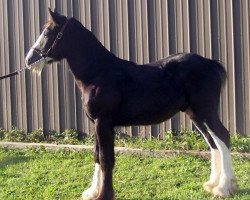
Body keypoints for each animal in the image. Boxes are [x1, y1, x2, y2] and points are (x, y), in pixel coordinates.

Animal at [25, 8, 238, 199]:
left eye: (47, 32)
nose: (29, 60)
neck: (98, 73)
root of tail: (210, 62)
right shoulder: (97, 124)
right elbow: (97, 155)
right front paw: (92, 192)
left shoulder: (103, 123)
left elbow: (106, 159)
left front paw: (104, 195)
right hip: (195, 114)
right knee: (212, 141)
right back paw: (212, 184)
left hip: (206, 111)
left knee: (222, 136)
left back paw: (224, 188)